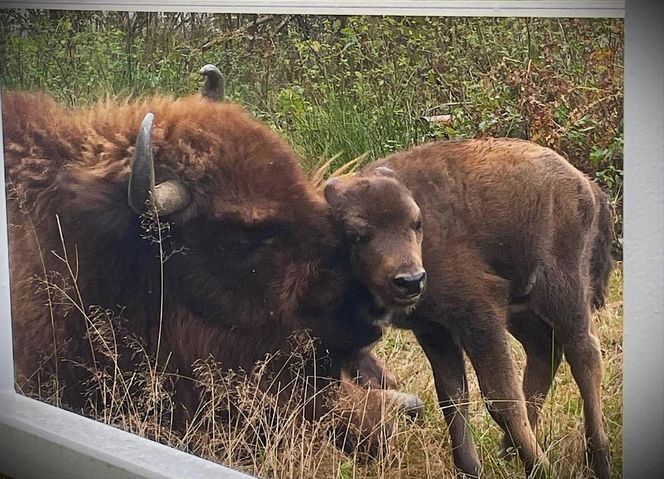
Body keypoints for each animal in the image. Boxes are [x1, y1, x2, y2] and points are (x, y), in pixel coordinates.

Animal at [324, 137, 616, 478]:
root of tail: (584, 183)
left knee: (584, 354)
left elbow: (501, 399)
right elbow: (453, 398)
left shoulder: (479, 315)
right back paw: (508, 452)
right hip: (522, 311)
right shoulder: (434, 330)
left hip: (562, 290)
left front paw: (541, 467)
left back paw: (598, 458)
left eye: (417, 223)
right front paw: (470, 468)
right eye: (357, 235)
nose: (411, 280)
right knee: (545, 351)